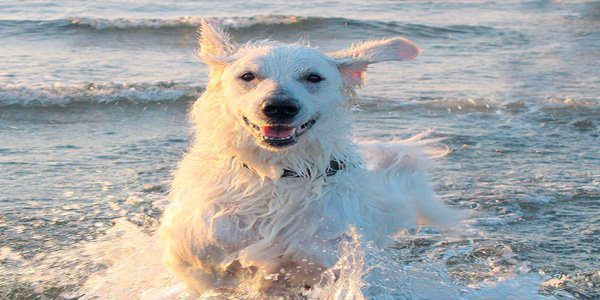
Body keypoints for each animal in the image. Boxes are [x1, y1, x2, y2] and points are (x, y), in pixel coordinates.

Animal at [157, 19, 458, 298]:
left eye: (313, 78)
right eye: (247, 76)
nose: (279, 107)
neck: (278, 173)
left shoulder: (323, 260)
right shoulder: (197, 255)